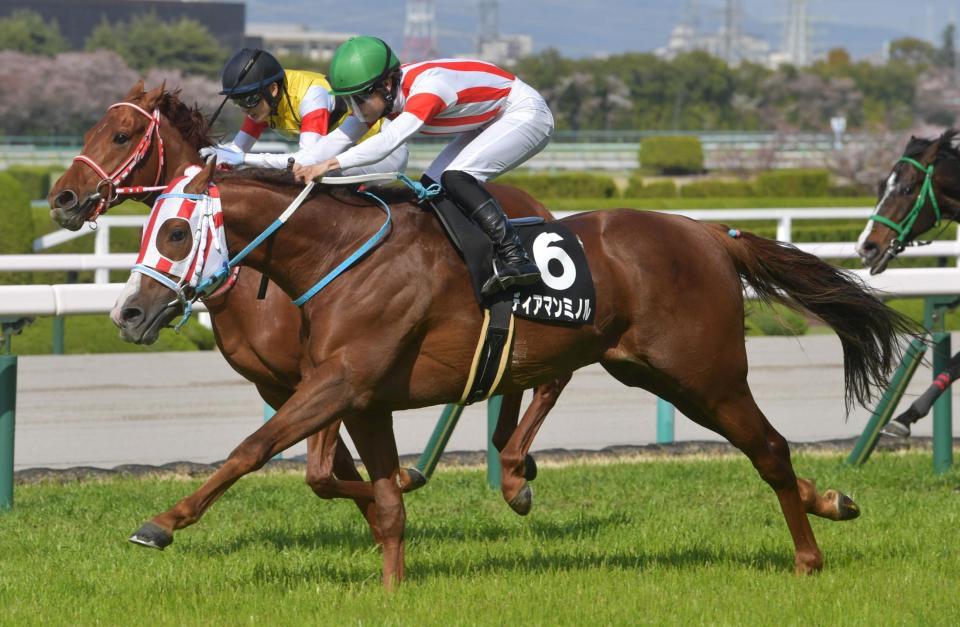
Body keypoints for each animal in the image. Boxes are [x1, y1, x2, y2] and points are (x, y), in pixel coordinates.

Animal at [46, 82, 568, 534]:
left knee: (550, 378)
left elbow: (318, 471)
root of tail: (538, 205)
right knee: (511, 375)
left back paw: (515, 472)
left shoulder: (327, 371)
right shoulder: (278, 385)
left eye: (120, 134)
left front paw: (398, 485)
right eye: (90, 131)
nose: (61, 198)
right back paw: (515, 462)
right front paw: (385, 505)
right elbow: (327, 469)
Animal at [113, 157, 915, 588]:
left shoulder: (338, 382)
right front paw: (393, 581)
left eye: (176, 231)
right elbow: (378, 495)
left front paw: (161, 523)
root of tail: (714, 235)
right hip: (651, 372)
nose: (127, 311)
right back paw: (830, 500)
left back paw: (808, 555)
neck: (338, 255)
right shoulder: (362, 396)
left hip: (705, 373)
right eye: (147, 227)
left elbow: (252, 448)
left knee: (770, 448)